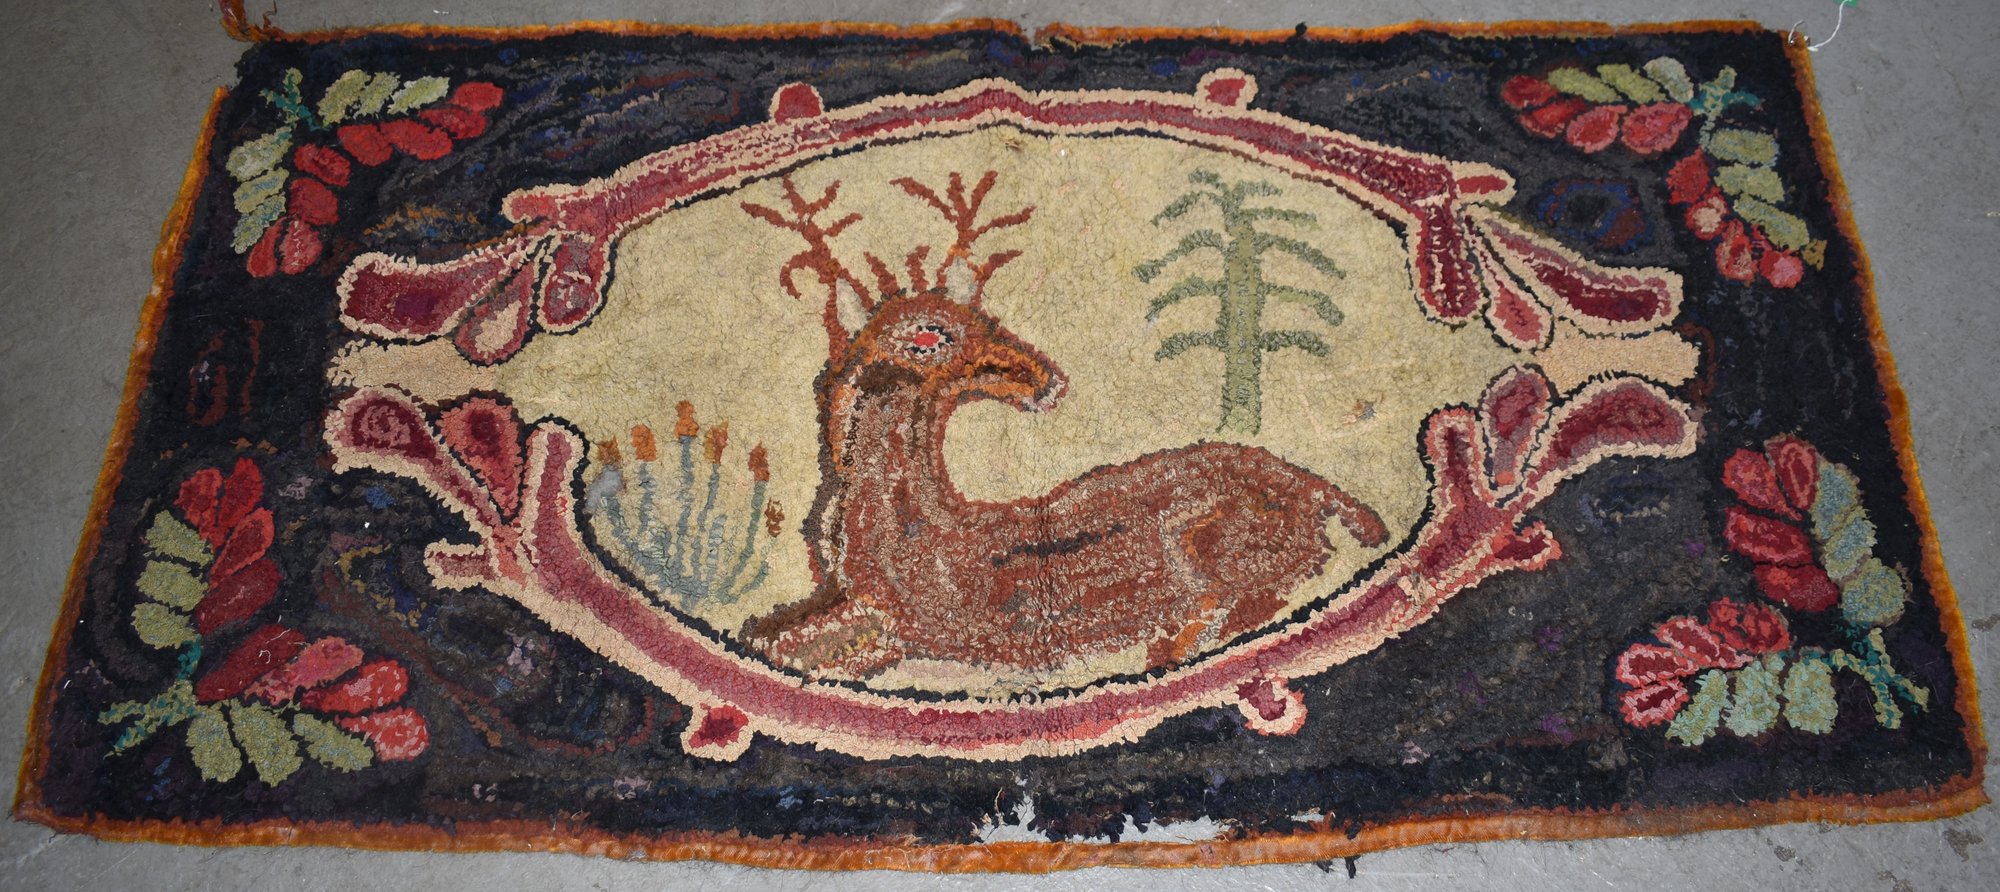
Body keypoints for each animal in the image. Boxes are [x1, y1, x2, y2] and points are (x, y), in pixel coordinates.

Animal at [735, 171, 1389, 680]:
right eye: (928, 336)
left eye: (984, 318)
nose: (1043, 379)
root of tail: (1320, 490)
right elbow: (771, 639)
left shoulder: (917, 627)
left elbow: (793, 649)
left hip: (1217, 549)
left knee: (1241, 600)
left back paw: (1168, 648)